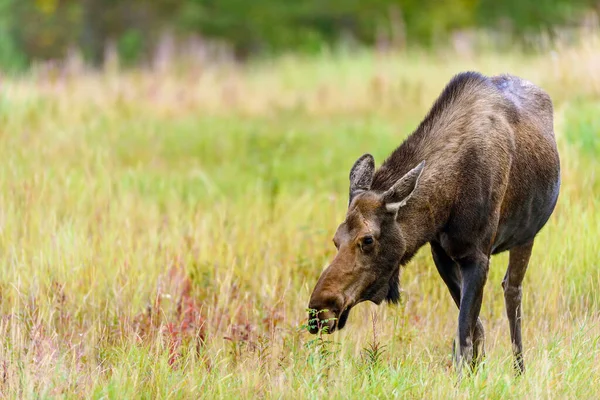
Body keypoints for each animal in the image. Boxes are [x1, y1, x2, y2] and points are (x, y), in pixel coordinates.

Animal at [308, 70, 560, 374]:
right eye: (336, 239)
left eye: (367, 239)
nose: (318, 311)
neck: (446, 202)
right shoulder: (440, 252)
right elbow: (475, 327)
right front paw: (478, 370)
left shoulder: (477, 255)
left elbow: (464, 332)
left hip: (526, 235)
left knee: (512, 291)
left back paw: (520, 370)